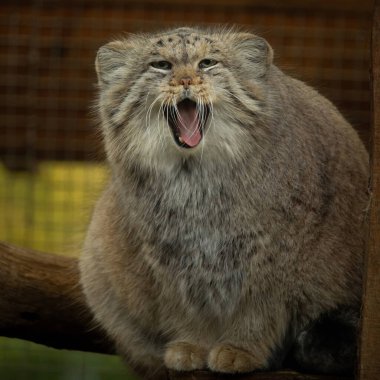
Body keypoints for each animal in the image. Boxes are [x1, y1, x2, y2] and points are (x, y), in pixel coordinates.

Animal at [79, 26, 368, 378]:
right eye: (161, 65)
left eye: (207, 63)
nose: (186, 81)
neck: (195, 180)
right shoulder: (170, 256)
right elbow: (187, 308)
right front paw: (191, 345)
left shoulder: (277, 255)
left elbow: (258, 310)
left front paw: (241, 349)